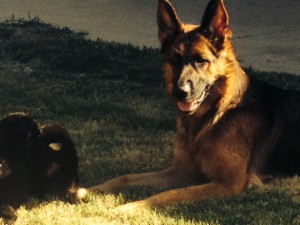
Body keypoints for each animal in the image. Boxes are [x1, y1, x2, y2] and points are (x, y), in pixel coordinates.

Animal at [89, 0, 300, 214]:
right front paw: (92, 190)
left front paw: (129, 207)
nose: (180, 92)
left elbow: (170, 194)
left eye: (201, 60)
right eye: (175, 60)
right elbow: (127, 177)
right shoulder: (180, 172)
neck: (213, 116)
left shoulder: (229, 183)